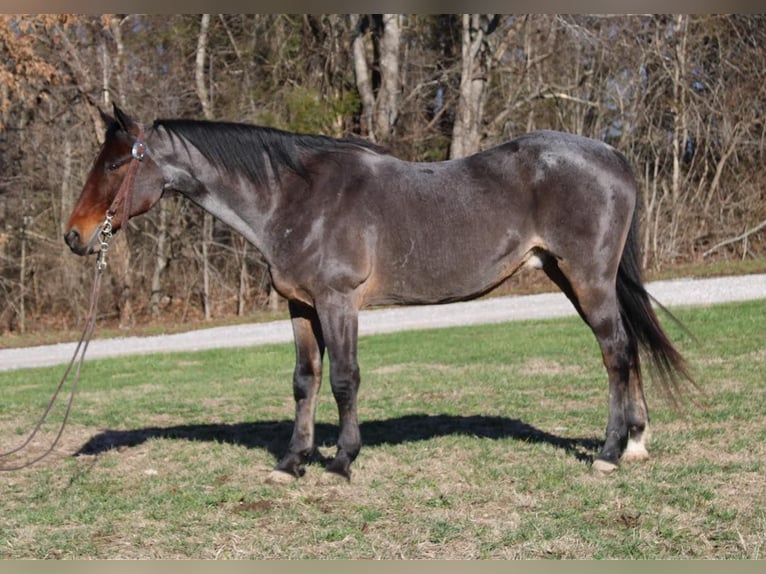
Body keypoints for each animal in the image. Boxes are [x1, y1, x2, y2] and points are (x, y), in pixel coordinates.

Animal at [64, 104, 696, 482]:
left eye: (116, 163)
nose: (74, 235)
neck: (295, 200)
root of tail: (612, 155)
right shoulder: (300, 306)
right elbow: (304, 381)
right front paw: (291, 463)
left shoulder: (338, 301)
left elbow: (345, 379)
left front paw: (343, 460)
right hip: (575, 278)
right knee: (627, 349)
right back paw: (635, 443)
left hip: (586, 278)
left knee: (615, 352)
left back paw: (609, 454)